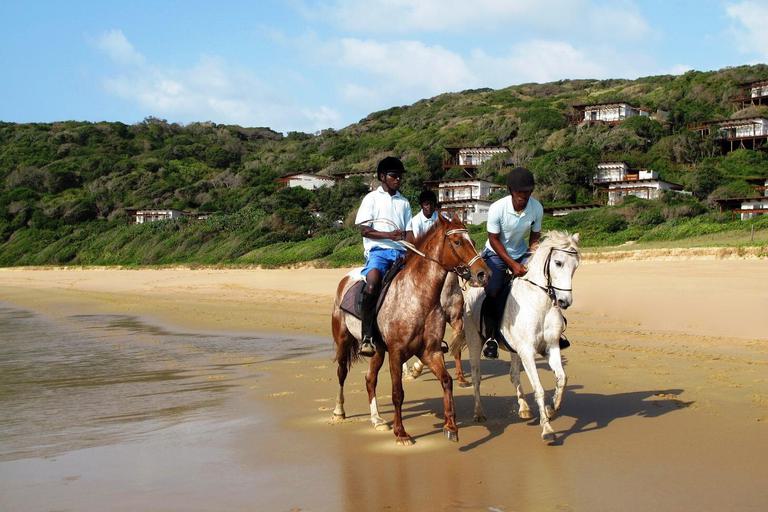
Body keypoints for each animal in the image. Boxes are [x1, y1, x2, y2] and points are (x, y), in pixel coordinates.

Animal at [331, 213, 490, 445]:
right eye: (457, 242)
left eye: (473, 242)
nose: (483, 274)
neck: (419, 296)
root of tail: (345, 279)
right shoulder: (396, 353)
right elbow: (398, 393)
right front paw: (401, 433)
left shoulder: (430, 351)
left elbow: (446, 381)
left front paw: (450, 426)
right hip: (343, 342)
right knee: (342, 373)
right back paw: (339, 411)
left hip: (378, 350)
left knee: (370, 379)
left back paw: (377, 419)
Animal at [461, 231, 581, 442]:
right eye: (558, 263)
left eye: (575, 265)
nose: (564, 302)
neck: (540, 303)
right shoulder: (527, 351)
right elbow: (539, 389)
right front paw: (547, 429)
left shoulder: (551, 347)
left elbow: (562, 379)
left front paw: (552, 409)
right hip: (475, 341)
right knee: (476, 377)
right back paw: (479, 413)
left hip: (514, 349)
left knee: (514, 375)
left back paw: (524, 408)